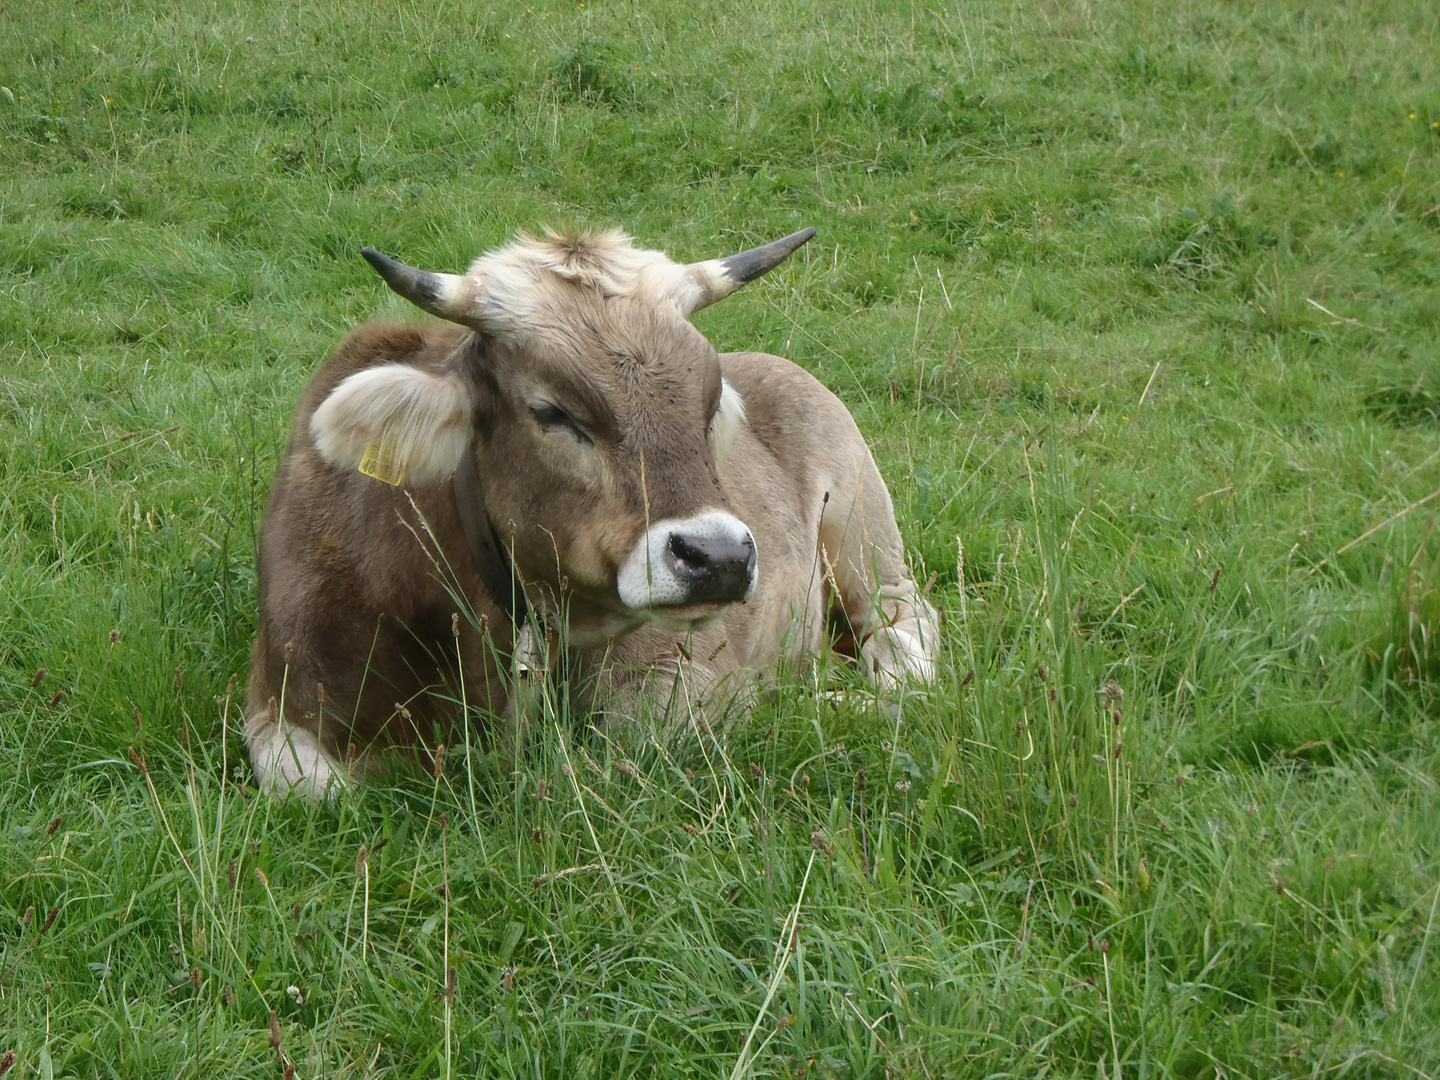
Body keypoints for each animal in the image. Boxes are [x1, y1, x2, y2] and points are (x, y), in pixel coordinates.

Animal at [244, 224, 944, 800]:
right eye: (552, 411)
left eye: (709, 401)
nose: (719, 557)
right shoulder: (285, 696)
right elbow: (311, 785)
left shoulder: (683, 675)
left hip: (869, 543)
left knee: (904, 641)